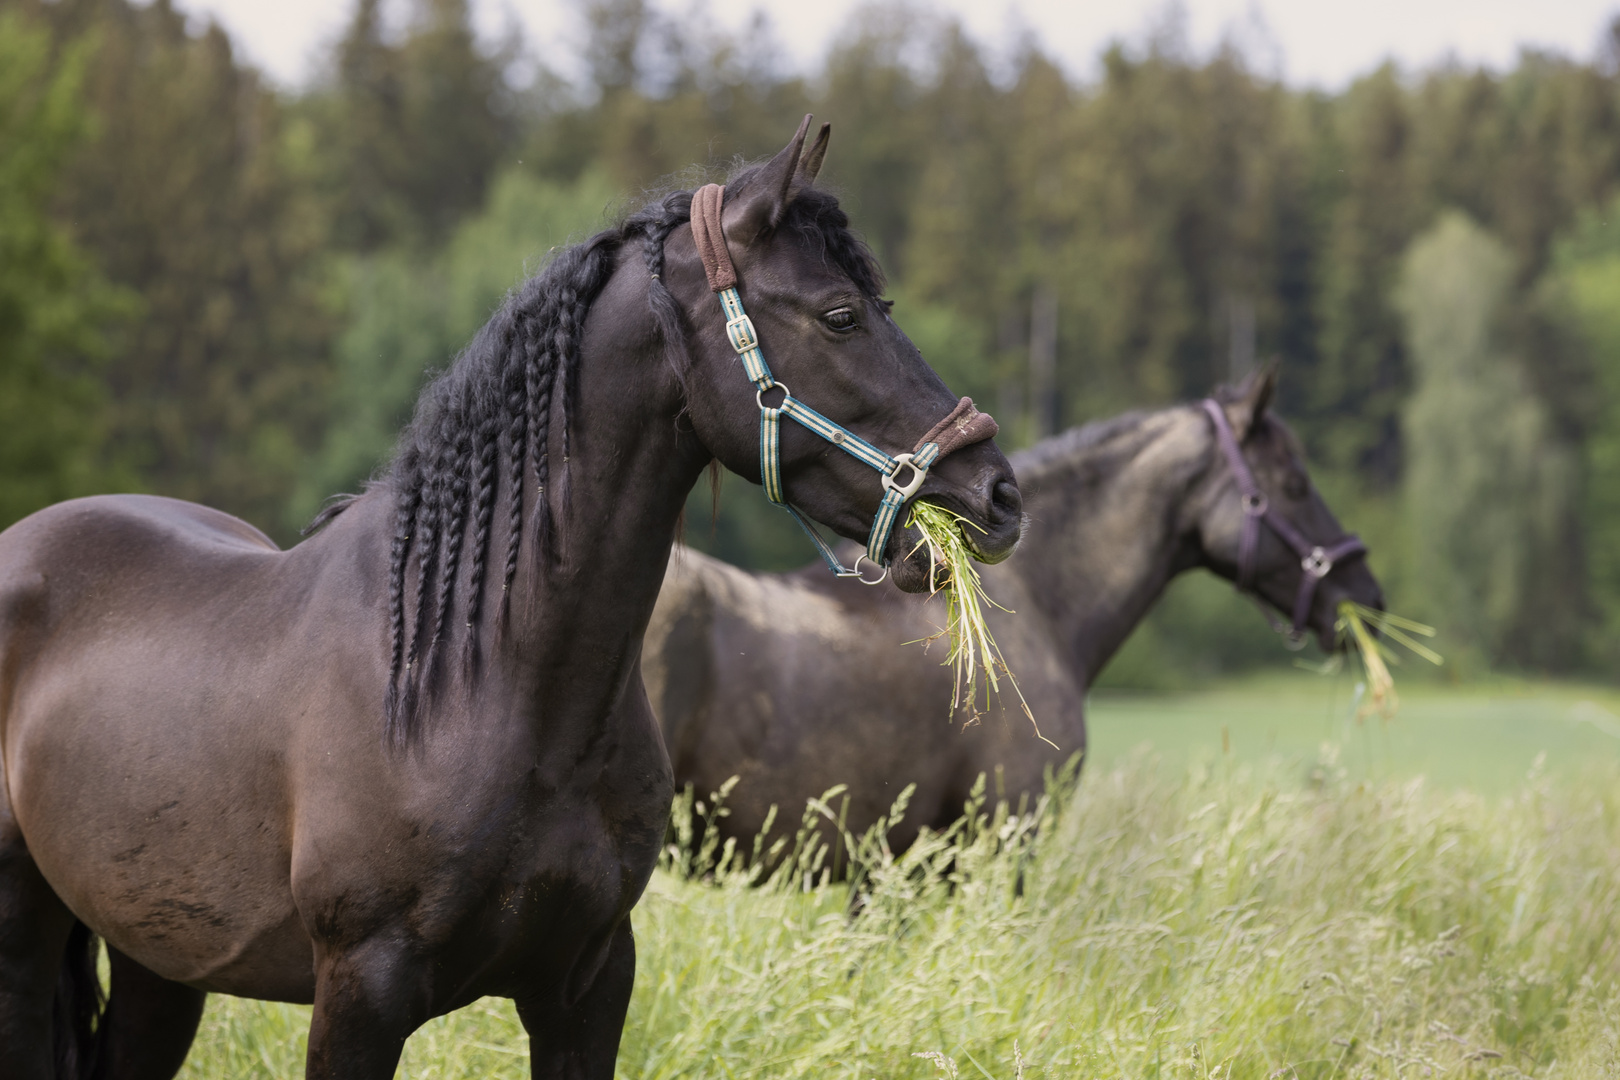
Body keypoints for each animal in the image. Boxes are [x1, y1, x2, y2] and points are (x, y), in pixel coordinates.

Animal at [0, 120, 1010, 1080]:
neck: (475, 685)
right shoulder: (359, 994)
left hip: (157, 964)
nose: (997, 494)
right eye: (840, 316)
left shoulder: (588, 985)